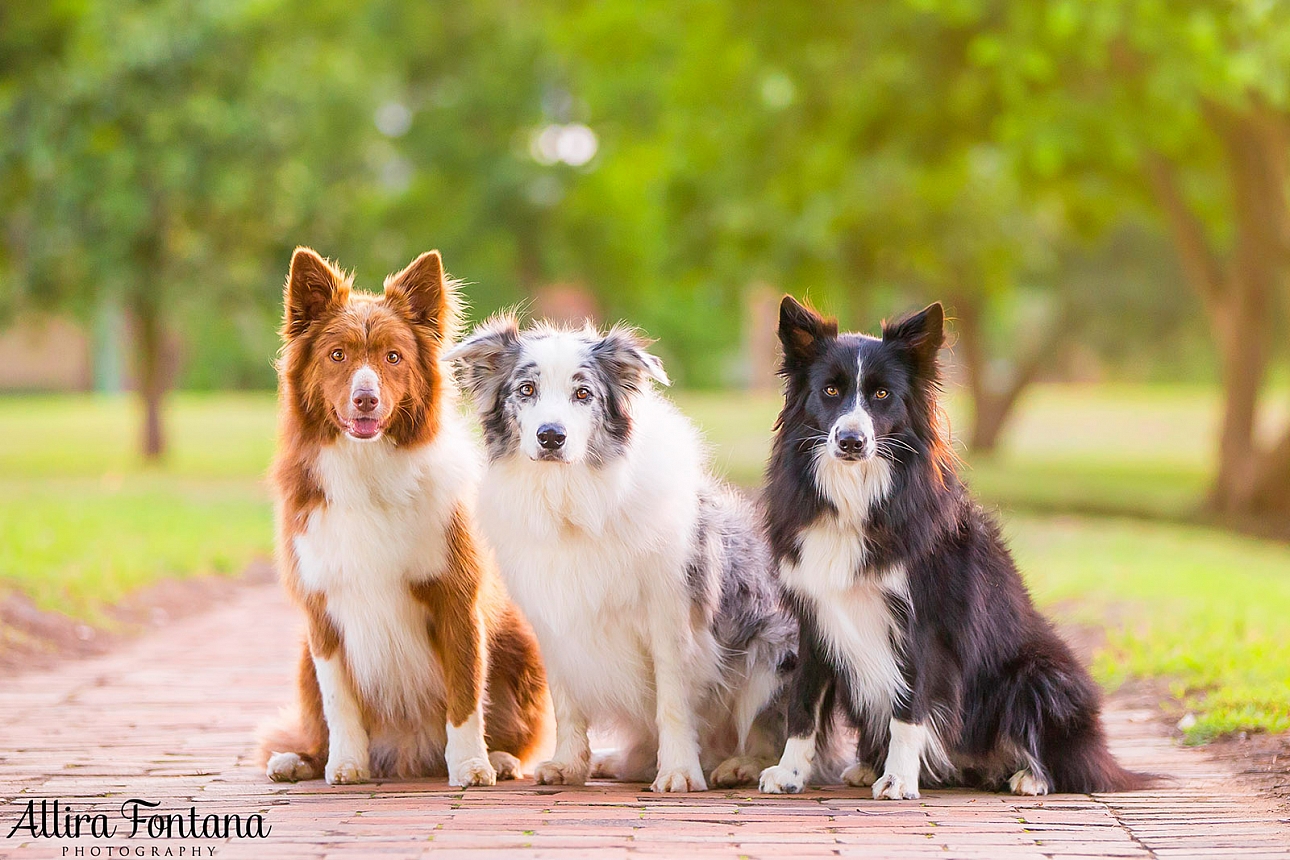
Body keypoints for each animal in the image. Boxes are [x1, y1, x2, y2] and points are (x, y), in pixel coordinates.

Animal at [256, 247, 549, 789]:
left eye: (393, 357)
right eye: (337, 355)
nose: (366, 399)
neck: (367, 465)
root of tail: (409, 753)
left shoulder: (456, 597)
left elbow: (464, 693)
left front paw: (471, 765)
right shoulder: (322, 609)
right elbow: (339, 700)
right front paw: (346, 764)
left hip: (523, 645)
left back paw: (499, 758)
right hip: (303, 658)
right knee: (313, 725)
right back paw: (299, 761)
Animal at [451, 318, 794, 794]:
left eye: (583, 394)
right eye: (526, 389)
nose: (551, 436)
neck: (572, 497)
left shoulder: (671, 617)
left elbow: (673, 702)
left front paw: (679, 772)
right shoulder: (554, 622)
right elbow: (567, 704)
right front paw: (568, 764)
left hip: (771, 649)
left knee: (772, 734)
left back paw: (739, 766)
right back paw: (613, 761)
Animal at [758, 297, 1145, 799]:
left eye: (881, 395)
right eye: (829, 390)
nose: (851, 441)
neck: (857, 498)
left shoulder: (924, 623)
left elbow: (908, 709)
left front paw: (899, 780)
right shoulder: (815, 614)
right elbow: (802, 702)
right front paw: (790, 772)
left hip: (1039, 673)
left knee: (1062, 753)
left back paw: (1030, 777)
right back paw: (869, 765)